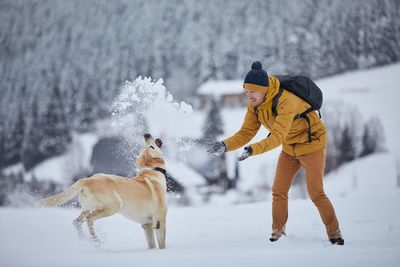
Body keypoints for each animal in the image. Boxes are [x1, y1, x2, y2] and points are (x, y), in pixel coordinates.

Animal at [39, 135, 167, 250]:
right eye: (150, 146)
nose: (146, 135)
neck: (152, 171)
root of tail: (87, 180)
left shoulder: (147, 225)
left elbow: (151, 245)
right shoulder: (159, 220)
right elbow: (162, 244)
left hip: (88, 207)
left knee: (77, 222)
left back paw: (84, 239)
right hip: (113, 205)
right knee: (89, 219)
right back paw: (96, 240)